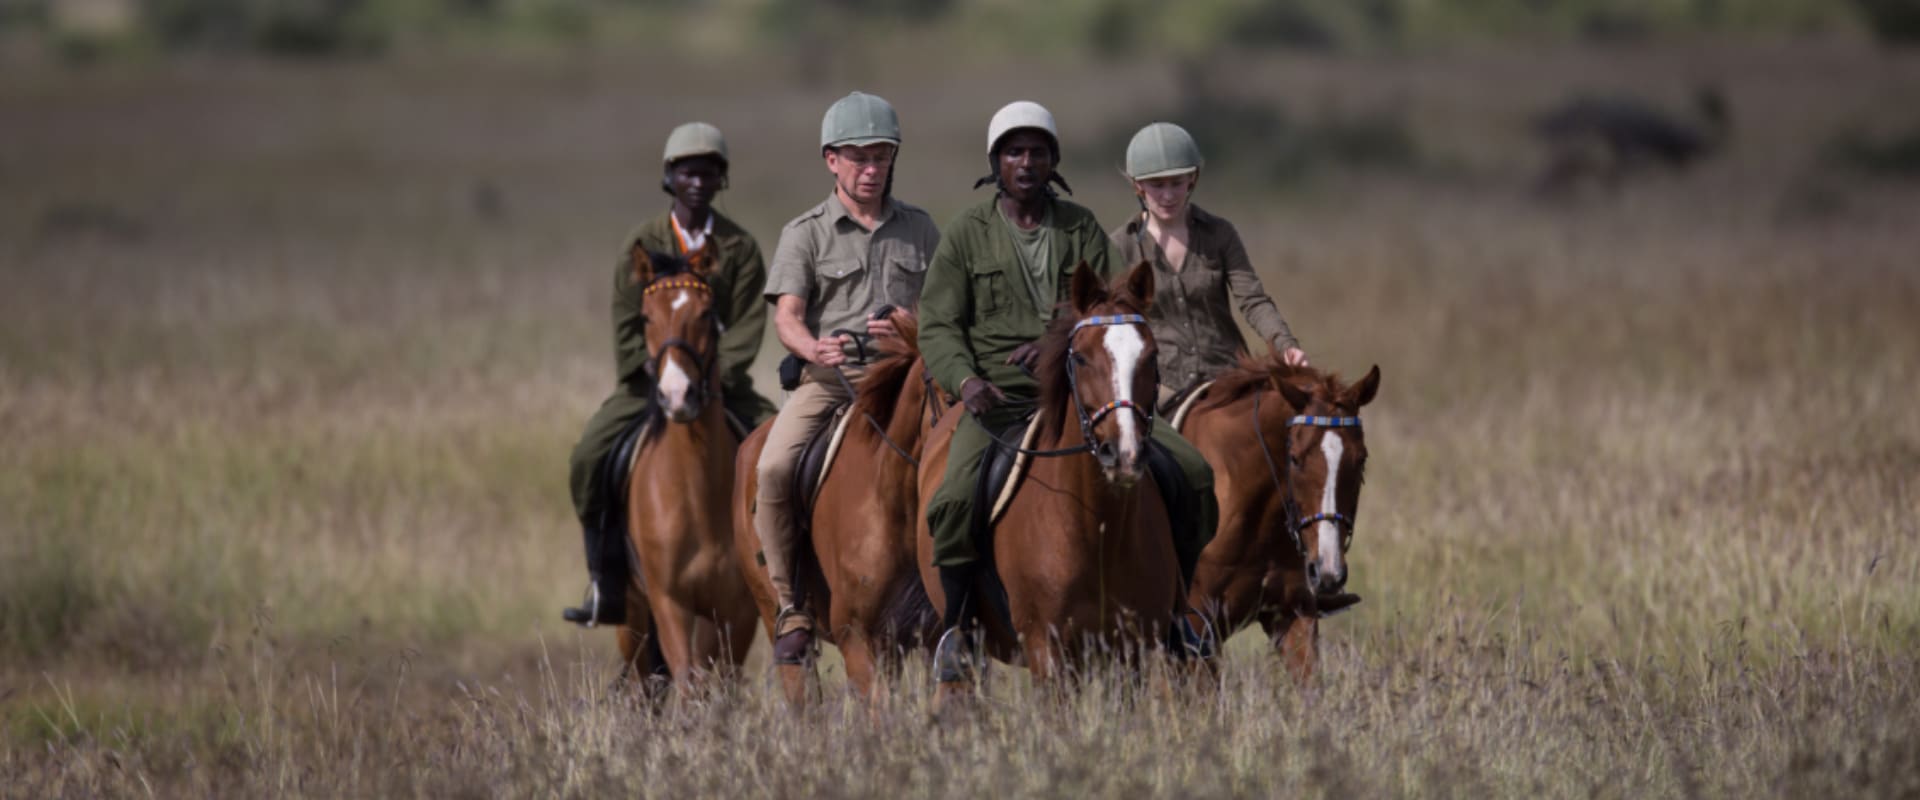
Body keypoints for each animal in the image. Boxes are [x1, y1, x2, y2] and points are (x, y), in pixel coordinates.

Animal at [618, 249, 760, 686]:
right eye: (646, 317)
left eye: (705, 312)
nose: (677, 395)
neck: (697, 494)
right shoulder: (670, 603)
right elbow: (686, 681)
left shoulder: (736, 611)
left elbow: (721, 681)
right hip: (632, 616)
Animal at [917, 260, 1182, 690]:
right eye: (1082, 358)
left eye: (1151, 356)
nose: (1124, 453)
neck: (1099, 529)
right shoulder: (1047, 649)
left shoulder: (1132, 649)